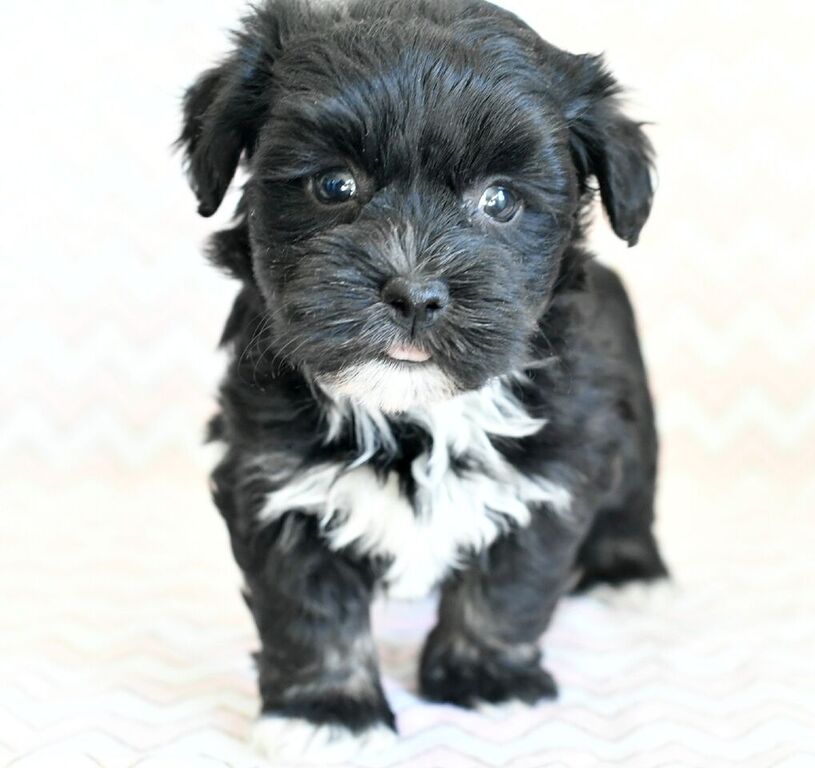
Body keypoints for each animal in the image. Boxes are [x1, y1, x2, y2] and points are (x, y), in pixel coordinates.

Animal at [178, 0, 668, 760]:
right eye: (333, 185)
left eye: (499, 200)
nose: (413, 292)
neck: (414, 413)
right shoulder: (271, 474)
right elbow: (307, 603)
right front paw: (328, 711)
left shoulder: (552, 470)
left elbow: (511, 584)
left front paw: (485, 676)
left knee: (635, 491)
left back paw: (629, 571)